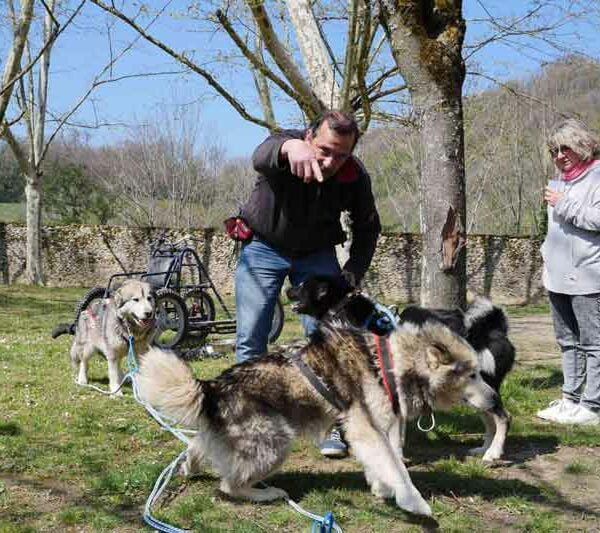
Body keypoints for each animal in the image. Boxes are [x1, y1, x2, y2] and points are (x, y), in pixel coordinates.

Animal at [136, 296, 496, 516]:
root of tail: (211, 386)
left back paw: (189, 465)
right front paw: (413, 502)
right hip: (276, 441)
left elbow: (387, 462)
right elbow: (397, 468)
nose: (494, 398)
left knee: (197, 448)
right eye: (473, 374)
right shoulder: (366, 428)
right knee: (229, 484)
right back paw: (266, 493)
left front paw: (382, 489)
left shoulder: (378, 427)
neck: (389, 363)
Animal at [290, 276, 516, 464]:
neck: (343, 310)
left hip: (482, 389)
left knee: (503, 417)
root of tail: (494, 327)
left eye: (301, 286)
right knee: (490, 421)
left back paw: (493, 453)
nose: (288, 290)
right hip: (475, 395)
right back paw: (484, 449)